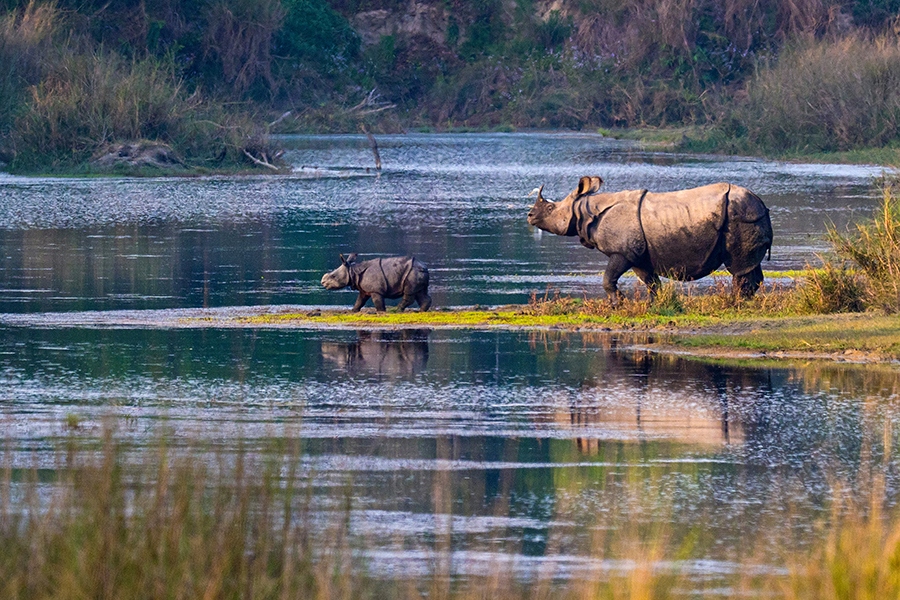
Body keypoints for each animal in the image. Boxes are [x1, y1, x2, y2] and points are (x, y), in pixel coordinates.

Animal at [527, 176, 773, 299]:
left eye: (550, 208)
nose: (529, 216)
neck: (584, 210)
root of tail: (761, 204)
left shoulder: (622, 252)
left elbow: (608, 279)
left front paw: (618, 305)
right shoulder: (639, 255)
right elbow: (652, 283)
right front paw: (655, 305)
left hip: (740, 216)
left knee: (738, 268)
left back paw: (734, 304)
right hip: (750, 216)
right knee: (750, 265)